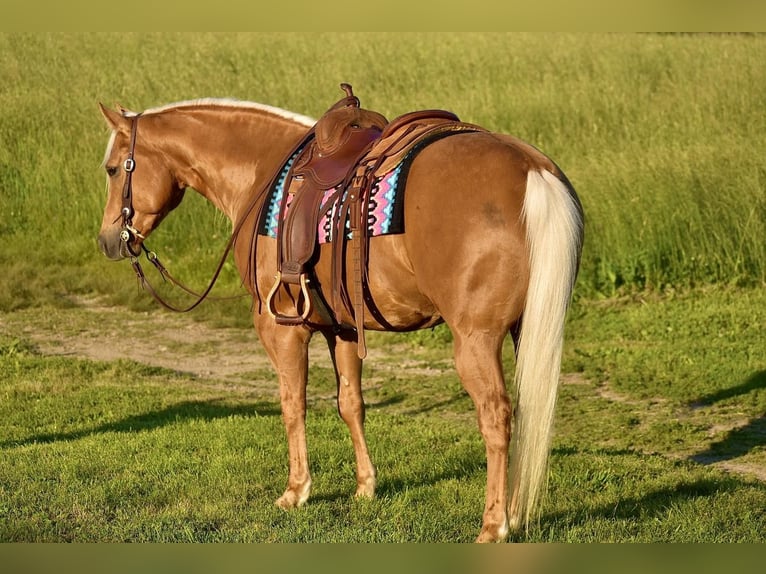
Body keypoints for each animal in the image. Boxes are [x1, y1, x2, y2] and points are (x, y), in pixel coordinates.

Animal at [99, 91, 584, 544]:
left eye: (112, 169)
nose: (108, 240)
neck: (260, 171)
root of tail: (532, 170)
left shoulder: (281, 329)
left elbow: (292, 404)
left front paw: (296, 490)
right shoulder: (343, 329)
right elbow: (351, 404)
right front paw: (366, 486)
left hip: (476, 340)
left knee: (496, 417)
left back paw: (494, 524)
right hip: (525, 332)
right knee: (527, 414)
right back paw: (515, 511)